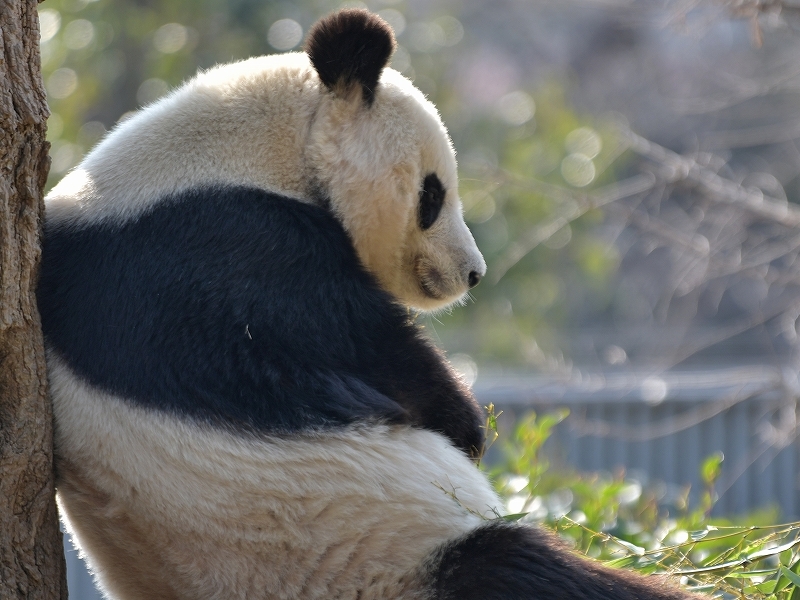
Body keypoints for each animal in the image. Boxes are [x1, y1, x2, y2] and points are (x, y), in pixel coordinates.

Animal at [39, 9, 700, 600]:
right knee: (518, 572)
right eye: (433, 194)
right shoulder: (235, 249)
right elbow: (379, 357)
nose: (472, 273)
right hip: (373, 551)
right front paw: (466, 426)